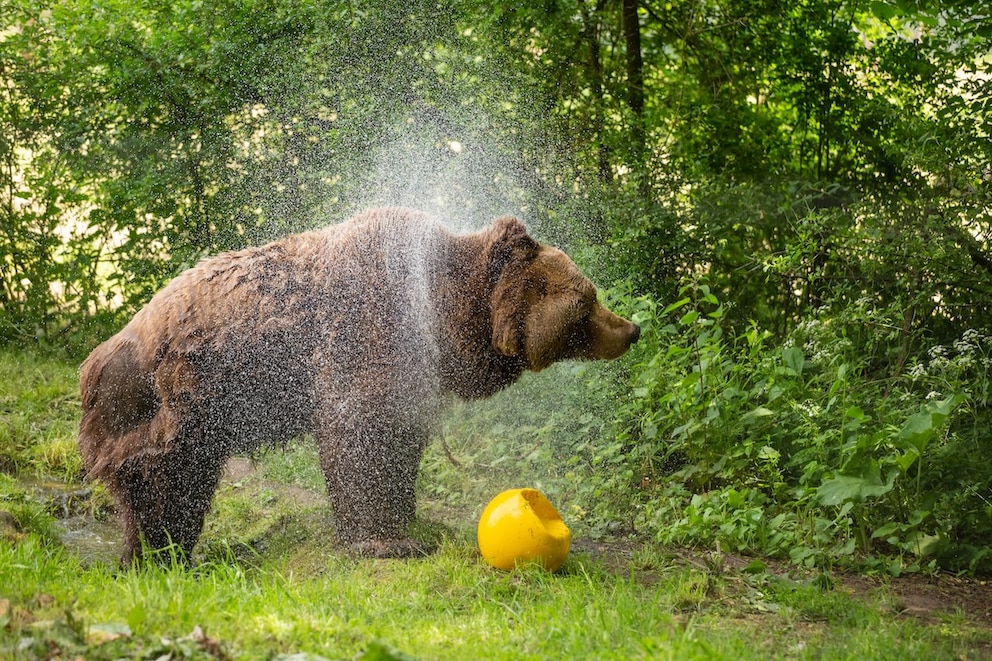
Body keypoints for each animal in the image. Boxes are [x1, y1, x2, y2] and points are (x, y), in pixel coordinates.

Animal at [75, 206, 636, 564]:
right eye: (587, 301)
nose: (631, 328)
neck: (452, 307)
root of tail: (97, 359)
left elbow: (401, 436)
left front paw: (406, 517)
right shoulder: (370, 327)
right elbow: (363, 428)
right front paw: (388, 542)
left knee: (182, 485)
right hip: (164, 404)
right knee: (161, 484)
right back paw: (156, 554)